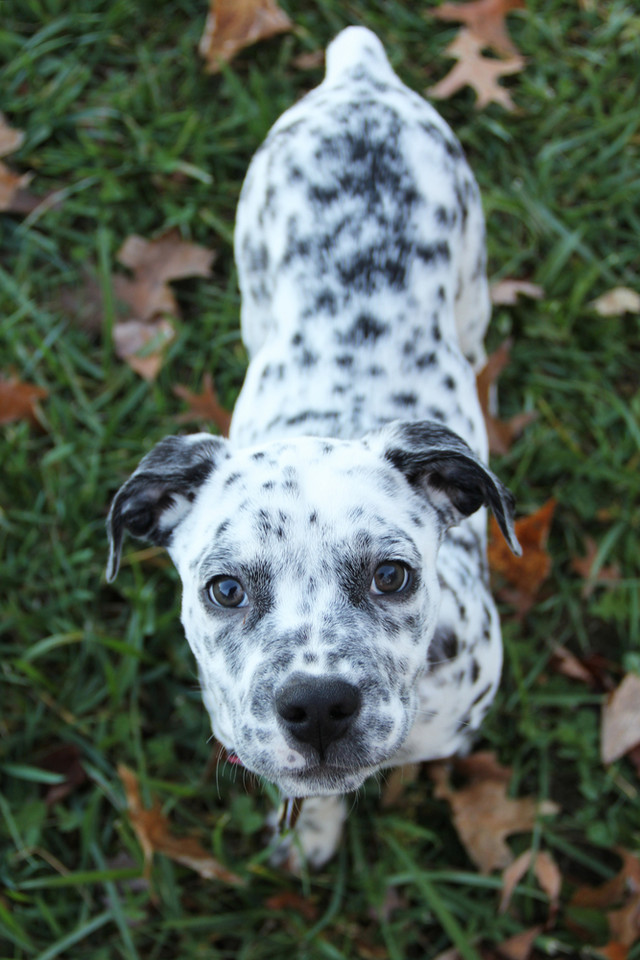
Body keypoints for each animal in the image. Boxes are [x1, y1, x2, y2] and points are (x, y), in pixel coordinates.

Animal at [106, 26, 520, 872]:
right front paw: (311, 831)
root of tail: (359, 72)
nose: (320, 704)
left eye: (393, 576)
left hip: (472, 269)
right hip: (253, 271)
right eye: (224, 589)